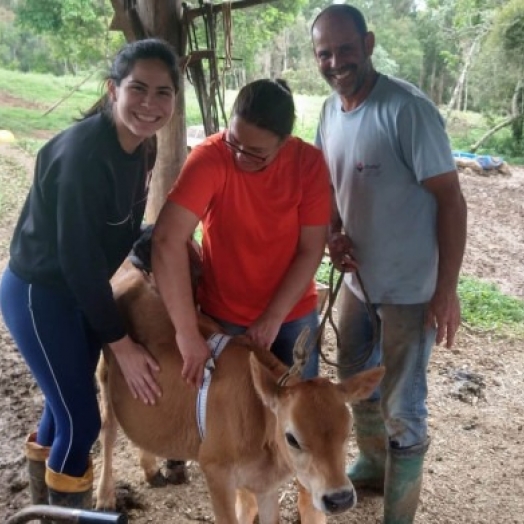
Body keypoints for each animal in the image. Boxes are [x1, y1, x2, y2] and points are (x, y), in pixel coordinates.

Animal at [95, 262, 384, 524]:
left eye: (348, 431)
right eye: (292, 438)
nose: (340, 498)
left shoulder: (266, 486)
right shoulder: (215, 470)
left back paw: (150, 469)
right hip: (107, 369)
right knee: (108, 428)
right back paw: (105, 497)